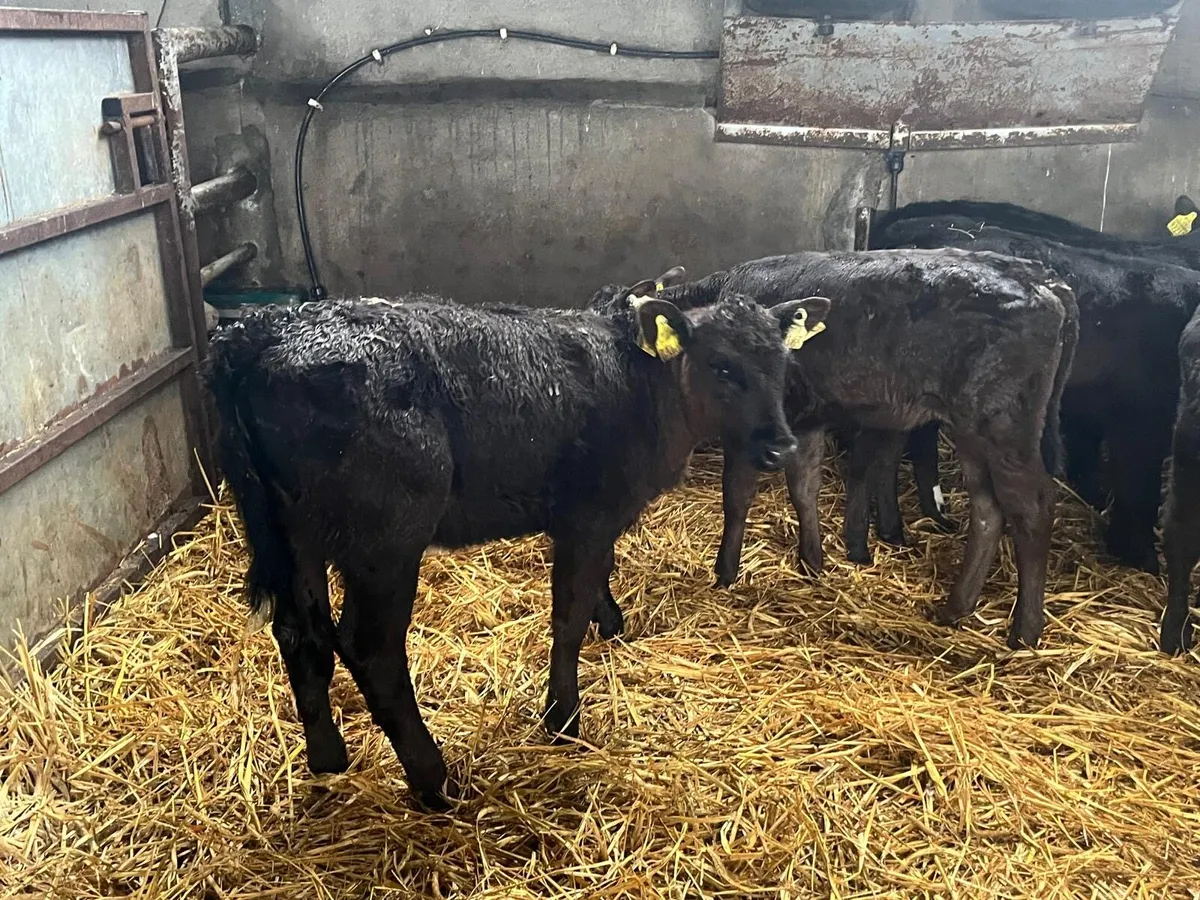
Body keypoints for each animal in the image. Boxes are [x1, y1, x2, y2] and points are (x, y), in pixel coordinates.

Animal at [205, 289, 828, 809]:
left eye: (782, 365)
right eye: (722, 367)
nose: (779, 446)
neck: (643, 388)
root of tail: (259, 332)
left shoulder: (596, 518)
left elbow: (599, 578)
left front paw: (610, 622)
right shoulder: (586, 513)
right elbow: (567, 617)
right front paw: (563, 718)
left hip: (293, 533)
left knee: (299, 633)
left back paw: (328, 757)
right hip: (385, 540)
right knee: (369, 647)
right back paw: (433, 779)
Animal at [593, 249, 1079, 649]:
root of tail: (1042, 279)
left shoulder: (753, 430)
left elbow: (737, 496)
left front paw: (726, 573)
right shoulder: (804, 422)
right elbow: (803, 488)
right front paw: (813, 561)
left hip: (1004, 427)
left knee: (1033, 508)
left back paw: (1025, 631)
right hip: (974, 433)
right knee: (987, 508)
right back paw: (955, 607)